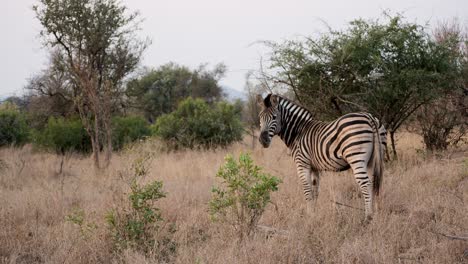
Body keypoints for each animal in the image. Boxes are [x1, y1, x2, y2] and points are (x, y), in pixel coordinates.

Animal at [258, 94, 386, 220]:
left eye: (274, 117)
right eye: (260, 118)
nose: (263, 140)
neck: (298, 132)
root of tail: (368, 116)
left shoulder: (302, 164)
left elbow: (307, 190)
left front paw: (309, 216)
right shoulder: (314, 167)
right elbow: (315, 191)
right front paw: (314, 214)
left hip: (356, 158)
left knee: (366, 184)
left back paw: (368, 217)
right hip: (373, 159)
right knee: (375, 183)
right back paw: (376, 213)